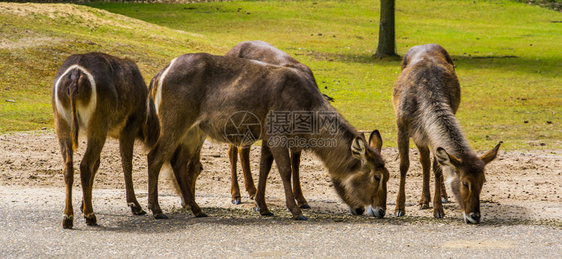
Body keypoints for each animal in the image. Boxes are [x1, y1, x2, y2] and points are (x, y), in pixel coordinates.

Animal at [52, 52, 159, 230]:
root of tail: (75, 77)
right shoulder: (129, 125)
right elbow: (126, 162)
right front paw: (135, 205)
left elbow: (98, 164)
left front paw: (82, 204)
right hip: (98, 124)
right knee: (85, 165)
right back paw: (90, 216)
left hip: (62, 124)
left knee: (69, 166)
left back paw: (68, 217)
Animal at [147, 53, 388, 220]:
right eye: (377, 176)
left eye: (388, 175)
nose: (381, 210)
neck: (307, 111)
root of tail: (159, 74)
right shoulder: (277, 132)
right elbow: (285, 169)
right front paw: (296, 211)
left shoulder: (267, 136)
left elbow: (264, 167)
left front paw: (263, 207)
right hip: (173, 120)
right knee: (155, 156)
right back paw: (156, 210)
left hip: (194, 130)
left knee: (178, 162)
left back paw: (197, 209)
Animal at [392, 44, 500, 223]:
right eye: (465, 183)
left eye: (483, 181)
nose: (475, 216)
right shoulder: (402, 126)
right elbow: (403, 165)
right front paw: (399, 209)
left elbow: (437, 167)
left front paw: (438, 210)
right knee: (423, 159)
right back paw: (423, 200)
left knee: (428, 160)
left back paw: (438, 197)